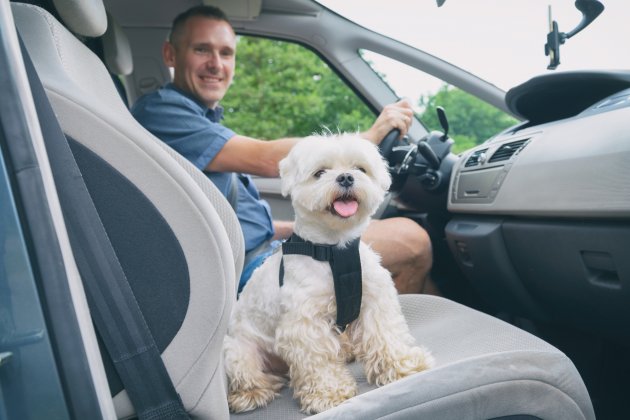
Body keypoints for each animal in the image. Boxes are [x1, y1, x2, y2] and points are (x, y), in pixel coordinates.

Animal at [222, 135, 434, 414]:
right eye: (319, 173)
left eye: (359, 168)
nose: (345, 177)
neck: (335, 250)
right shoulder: (305, 324)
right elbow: (318, 361)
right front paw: (328, 393)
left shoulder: (375, 302)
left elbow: (386, 336)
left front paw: (403, 366)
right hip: (239, 353)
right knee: (248, 374)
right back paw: (251, 393)